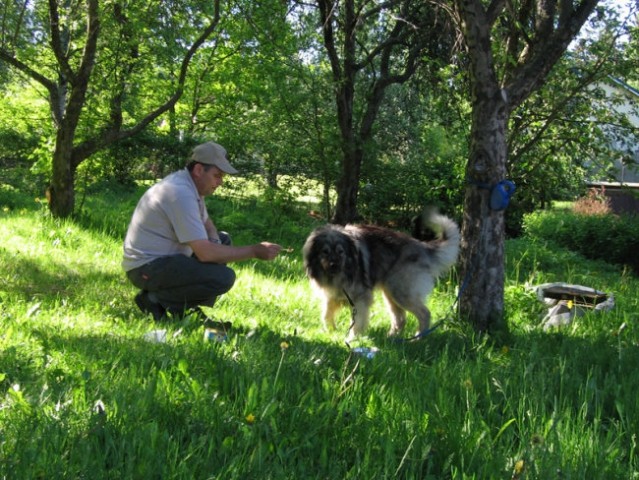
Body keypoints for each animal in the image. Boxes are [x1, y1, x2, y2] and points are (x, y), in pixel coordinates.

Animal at [304, 208, 460, 340]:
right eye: (325, 252)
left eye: (340, 252)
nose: (334, 265)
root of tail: (422, 247)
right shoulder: (332, 296)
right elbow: (326, 314)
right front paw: (330, 330)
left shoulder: (361, 299)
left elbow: (358, 321)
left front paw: (352, 338)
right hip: (390, 293)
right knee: (400, 318)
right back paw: (392, 337)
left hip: (400, 292)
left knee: (424, 314)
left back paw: (418, 338)